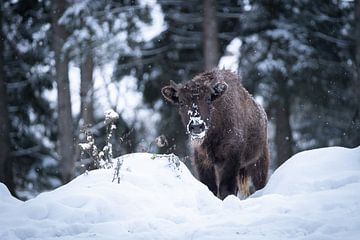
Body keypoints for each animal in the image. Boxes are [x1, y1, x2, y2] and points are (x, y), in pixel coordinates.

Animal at [162, 69, 268, 199]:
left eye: (208, 99)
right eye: (181, 102)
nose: (197, 126)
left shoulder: (232, 157)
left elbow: (226, 189)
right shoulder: (203, 159)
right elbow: (210, 186)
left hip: (258, 161)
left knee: (260, 183)